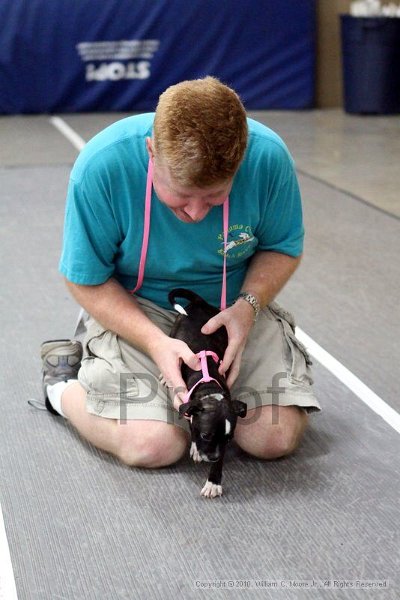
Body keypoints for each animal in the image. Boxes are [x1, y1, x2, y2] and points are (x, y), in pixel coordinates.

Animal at [166, 288, 247, 500]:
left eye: (229, 438)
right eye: (206, 435)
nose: (213, 457)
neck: (210, 388)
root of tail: (199, 302)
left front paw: (213, 482)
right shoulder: (188, 407)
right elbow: (192, 426)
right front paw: (196, 447)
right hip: (175, 330)